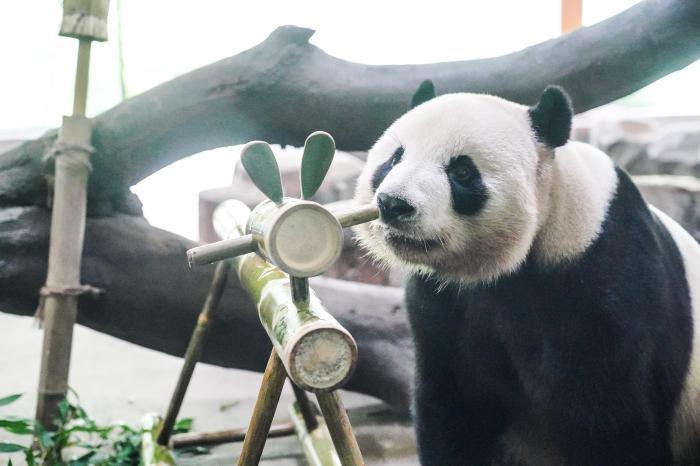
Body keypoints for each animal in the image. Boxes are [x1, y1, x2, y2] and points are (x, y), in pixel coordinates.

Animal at [352, 81, 700, 466]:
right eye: (394, 158)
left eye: (462, 172)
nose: (394, 204)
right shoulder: (444, 300)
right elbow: (455, 405)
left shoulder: (604, 272)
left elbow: (610, 418)